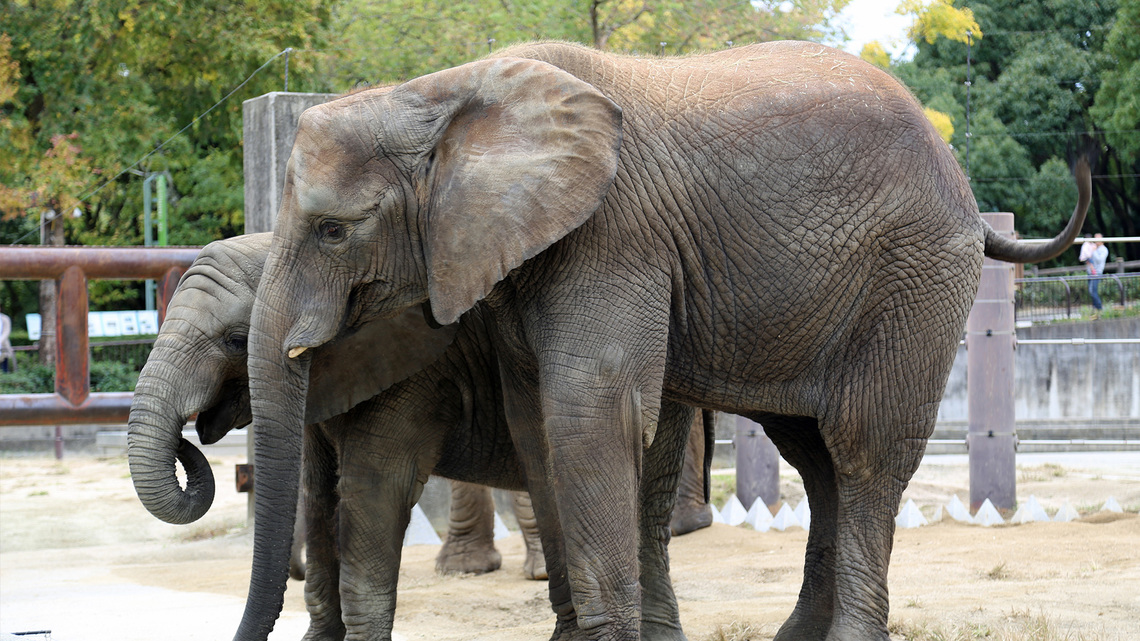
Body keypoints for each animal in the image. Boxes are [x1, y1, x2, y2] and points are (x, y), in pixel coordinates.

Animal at [238, 42, 1085, 634]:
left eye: (333, 230)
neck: (438, 92)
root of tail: (965, 183)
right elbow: (537, 425)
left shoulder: (612, 237)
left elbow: (589, 417)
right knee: (815, 458)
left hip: (914, 277)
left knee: (863, 449)